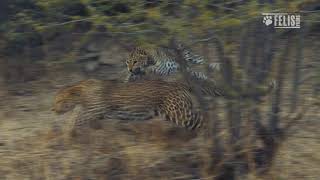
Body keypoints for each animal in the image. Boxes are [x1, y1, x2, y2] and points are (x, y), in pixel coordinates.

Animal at [52, 79, 202, 134]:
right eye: (55, 100)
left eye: (59, 100)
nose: (52, 109)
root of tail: (179, 84)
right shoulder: (94, 114)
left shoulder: (93, 111)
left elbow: (77, 120)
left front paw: (65, 133)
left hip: (179, 113)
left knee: (202, 120)